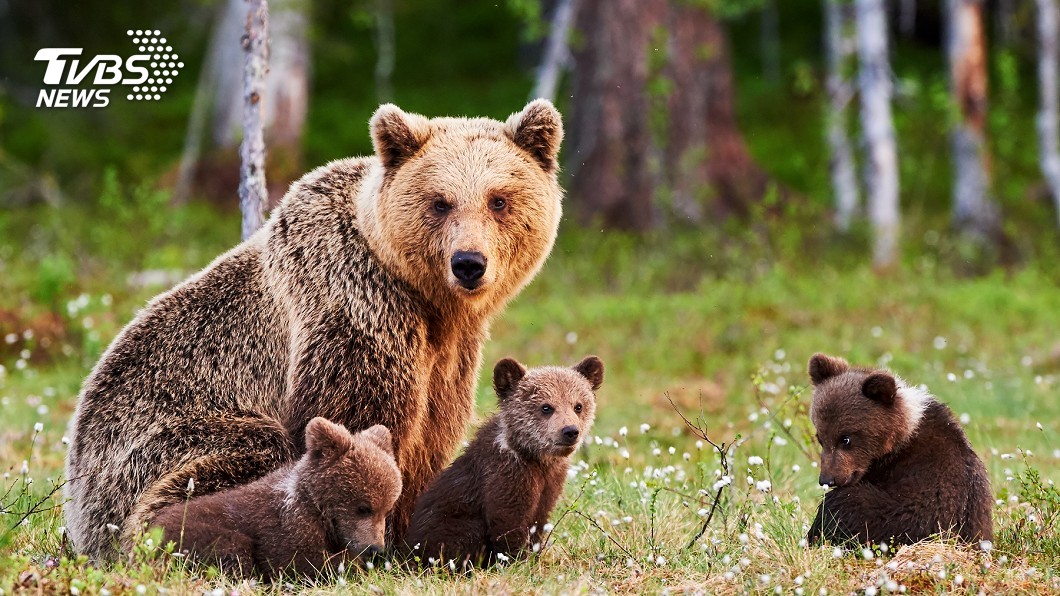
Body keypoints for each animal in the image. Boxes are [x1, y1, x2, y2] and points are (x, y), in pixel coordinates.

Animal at [64, 99, 565, 560]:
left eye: (498, 200)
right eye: (440, 202)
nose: (468, 263)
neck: (425, 299)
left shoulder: (450, 354)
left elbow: (431, 436)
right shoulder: (353, 308)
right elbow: (357, 421)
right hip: (158, 442)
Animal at [152, 419, 401, 580]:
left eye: (387, 509)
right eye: (363, 508)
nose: (376, 548)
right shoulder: (284, 526)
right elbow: (297, 562)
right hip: (190, 534)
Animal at [404, 355, 603, 568]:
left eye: (578, 406)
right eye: (546, 407)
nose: (570, 431)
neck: (534, 457)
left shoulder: (550, 483)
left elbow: (539, 521)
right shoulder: (506, 476)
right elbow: (507, 523)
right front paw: (516, 561)